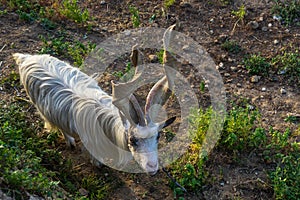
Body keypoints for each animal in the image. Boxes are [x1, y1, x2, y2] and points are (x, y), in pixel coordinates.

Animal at [12, 27, 177, 175]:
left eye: (158, 136)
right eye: (133, 139)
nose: (152, 168)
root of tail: (26, 58)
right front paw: (98, 165)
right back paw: (70, 141)